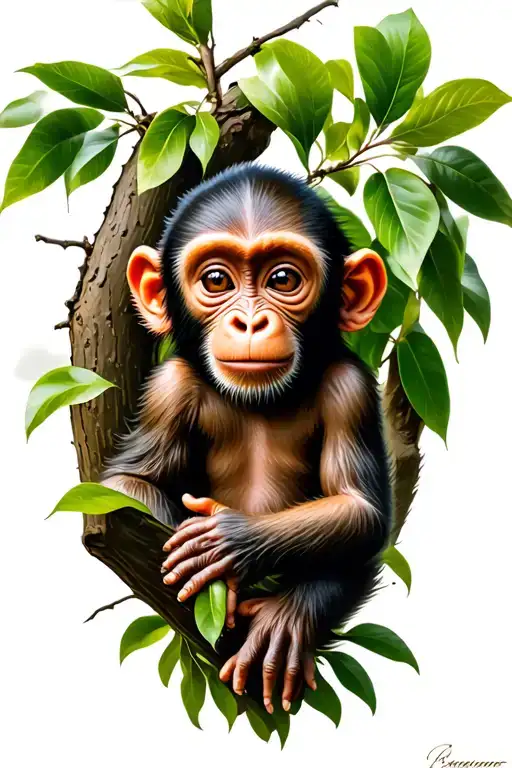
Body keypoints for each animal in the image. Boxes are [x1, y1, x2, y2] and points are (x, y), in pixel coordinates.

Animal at [101, 163, 392, 714]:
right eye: (216, 279)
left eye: (283, 279)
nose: (251, 320)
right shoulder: (168, 388)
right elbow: (125, 487)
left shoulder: (353, 388)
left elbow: (359, 509)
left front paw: (228, 543)